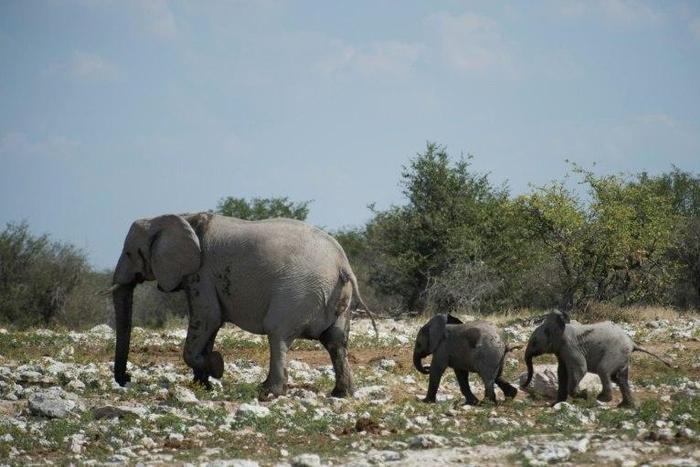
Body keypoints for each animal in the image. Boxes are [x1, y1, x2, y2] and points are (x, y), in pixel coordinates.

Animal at [104, 212, 377, 399]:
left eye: (129, 253)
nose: (126, 378)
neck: (182, 217)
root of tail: (342, 264)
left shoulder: (201, 274)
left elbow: (208, 319)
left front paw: (217, 367)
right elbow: (209, 328)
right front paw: (202, 385)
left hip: (297, 292)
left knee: (277, 333)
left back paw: (268, 392)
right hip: (336, 298)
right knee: (335, 341)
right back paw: (341, 393)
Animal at [522, 310, 672, 407]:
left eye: (534, 342)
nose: (523, 386)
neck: (561, 328)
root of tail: (632, 343)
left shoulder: (570, 348)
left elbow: (580, 369)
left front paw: (585, 395)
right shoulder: (562, 352)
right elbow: (562, 373)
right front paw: (556, 404)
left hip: (616, 352)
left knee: (604, 370)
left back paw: (602, 398)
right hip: (623, 357)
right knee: (619, 378)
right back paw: (625, 406)